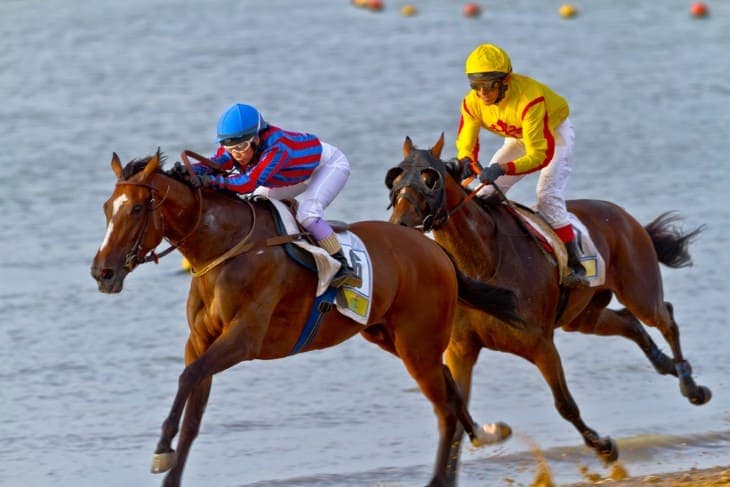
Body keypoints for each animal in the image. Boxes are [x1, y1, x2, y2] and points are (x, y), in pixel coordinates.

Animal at [90, 150, 524, 487]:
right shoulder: (200, 341)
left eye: (137, 208)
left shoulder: (243, 339)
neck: (225, 248)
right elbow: (193, 408)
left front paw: (161, 449)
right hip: (391, 337)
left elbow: (187, 377)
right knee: (451, 389)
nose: (102, 272)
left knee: (445, 408)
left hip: (417, 344)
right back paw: (479, 439)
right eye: (107, 208)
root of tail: (434, 249)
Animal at [385, 134, 710, 480]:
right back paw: (665, 364)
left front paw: (604, 448)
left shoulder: (540, 344)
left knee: (665, 318)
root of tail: (623, 216)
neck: (484, 262)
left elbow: (565, 405)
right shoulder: (461, 350)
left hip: (639, 290)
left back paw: (691, 386)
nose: (400, 224)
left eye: (430, 179)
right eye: (395, 178)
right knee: (628, 322)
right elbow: (457, 415)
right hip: (583, 316)